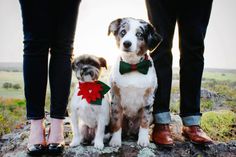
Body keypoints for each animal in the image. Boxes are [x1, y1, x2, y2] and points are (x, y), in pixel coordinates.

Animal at [108, 17, 162, 147]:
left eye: (139, 34)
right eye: (123, 32)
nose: (127, 43)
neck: (132, 66)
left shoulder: (148, 99)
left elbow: (144, 121)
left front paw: (143, 140)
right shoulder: (116, 98)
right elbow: (116, 121)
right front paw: (115, 141)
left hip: (153, 116)